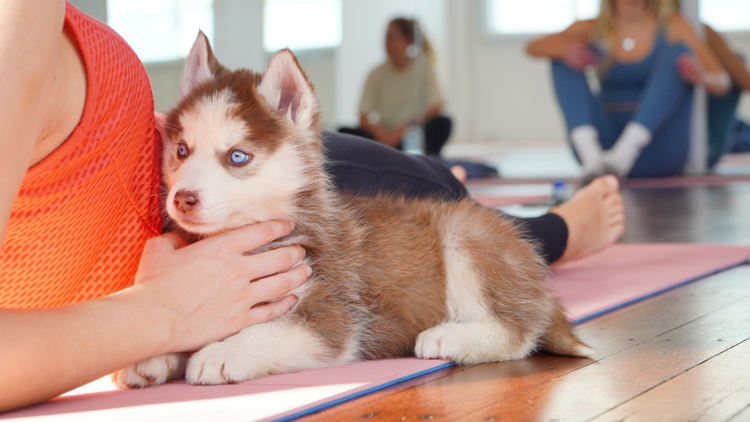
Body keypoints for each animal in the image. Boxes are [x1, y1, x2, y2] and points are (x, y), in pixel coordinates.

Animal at [113, 33, 592, 390]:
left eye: (237, 157)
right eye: (181, 150)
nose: (183, 198)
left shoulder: (335, 317)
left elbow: (275, 330)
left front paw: (222, 352)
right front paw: (153, 354)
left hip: (466, 234)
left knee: (520, 331)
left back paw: (449, 335)